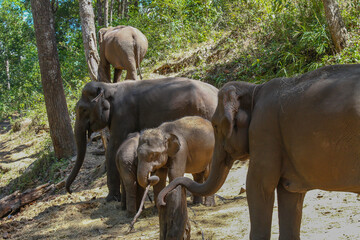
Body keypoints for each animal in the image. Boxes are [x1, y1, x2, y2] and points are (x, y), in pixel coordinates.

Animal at [65, 77, 218, 202]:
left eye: (83, 110)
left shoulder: (123, 115)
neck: (109, 86)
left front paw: (111, 199)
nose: (70, 191)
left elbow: (113, 147)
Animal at [159, 64, 360, 240]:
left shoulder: (264, 132)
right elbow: (290, 192)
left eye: (215, 125)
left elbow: (258, 186)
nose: (162, 199)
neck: (255, 89)